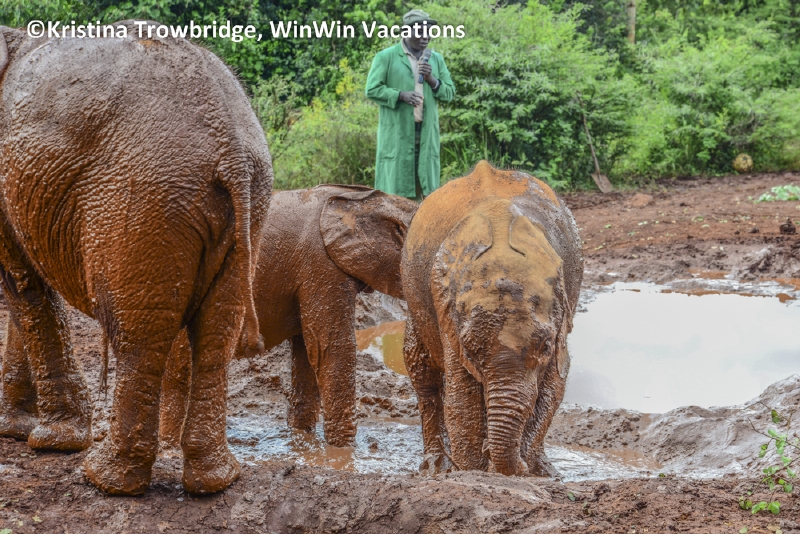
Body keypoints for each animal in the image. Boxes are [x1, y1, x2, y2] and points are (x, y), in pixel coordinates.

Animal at [0, 23, 272, 495]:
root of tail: (232, 148)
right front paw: (18, 430)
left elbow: (22, 283)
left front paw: (49, 440)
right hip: (241, 206)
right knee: (218, 329)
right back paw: (213, 480)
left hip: (142, 201)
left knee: (135, 333)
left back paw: (106, 479)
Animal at [159, 185, 418, 448]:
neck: (363, 200)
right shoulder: (321, 266)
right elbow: (332, 349)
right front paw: (344, 450)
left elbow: (307, 352)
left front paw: (303, 441)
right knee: (180, 369)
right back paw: (170, 447)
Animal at [401, 160, 583, 477]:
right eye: (471, 350)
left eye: (545, 347)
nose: (519, 464)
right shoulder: (445, 306)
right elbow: (462, 399)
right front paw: (473, 471)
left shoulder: (566, 304)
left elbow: (554, 384)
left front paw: (529, 470)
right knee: (423, 375)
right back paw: (436, 466)